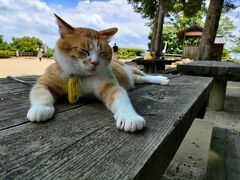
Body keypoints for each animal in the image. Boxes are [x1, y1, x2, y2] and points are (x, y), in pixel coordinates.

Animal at [26, 13, 169, 132]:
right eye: (84, 50)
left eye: (102, 53)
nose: (95, 62)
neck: (81, 77)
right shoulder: (44, 82)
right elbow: (41, 94)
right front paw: (40, 109)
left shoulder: (110, 86)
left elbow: (122, 100)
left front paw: (130, 117)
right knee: (139, 79)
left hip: (132, 70)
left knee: (145, 76)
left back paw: (161, 79)